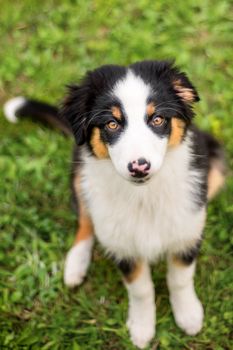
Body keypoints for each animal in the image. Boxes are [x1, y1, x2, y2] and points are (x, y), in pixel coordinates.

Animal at [4, 60, 226, 350]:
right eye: (111, 123)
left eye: (157, 119)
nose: (139, 167)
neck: (144, 196)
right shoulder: (124, 247)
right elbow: (141, 289)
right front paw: (142, 328)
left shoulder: (186, 233)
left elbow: (179, 278)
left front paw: (188, 315)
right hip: (80, 173)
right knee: (86, 219)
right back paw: (75, 265)